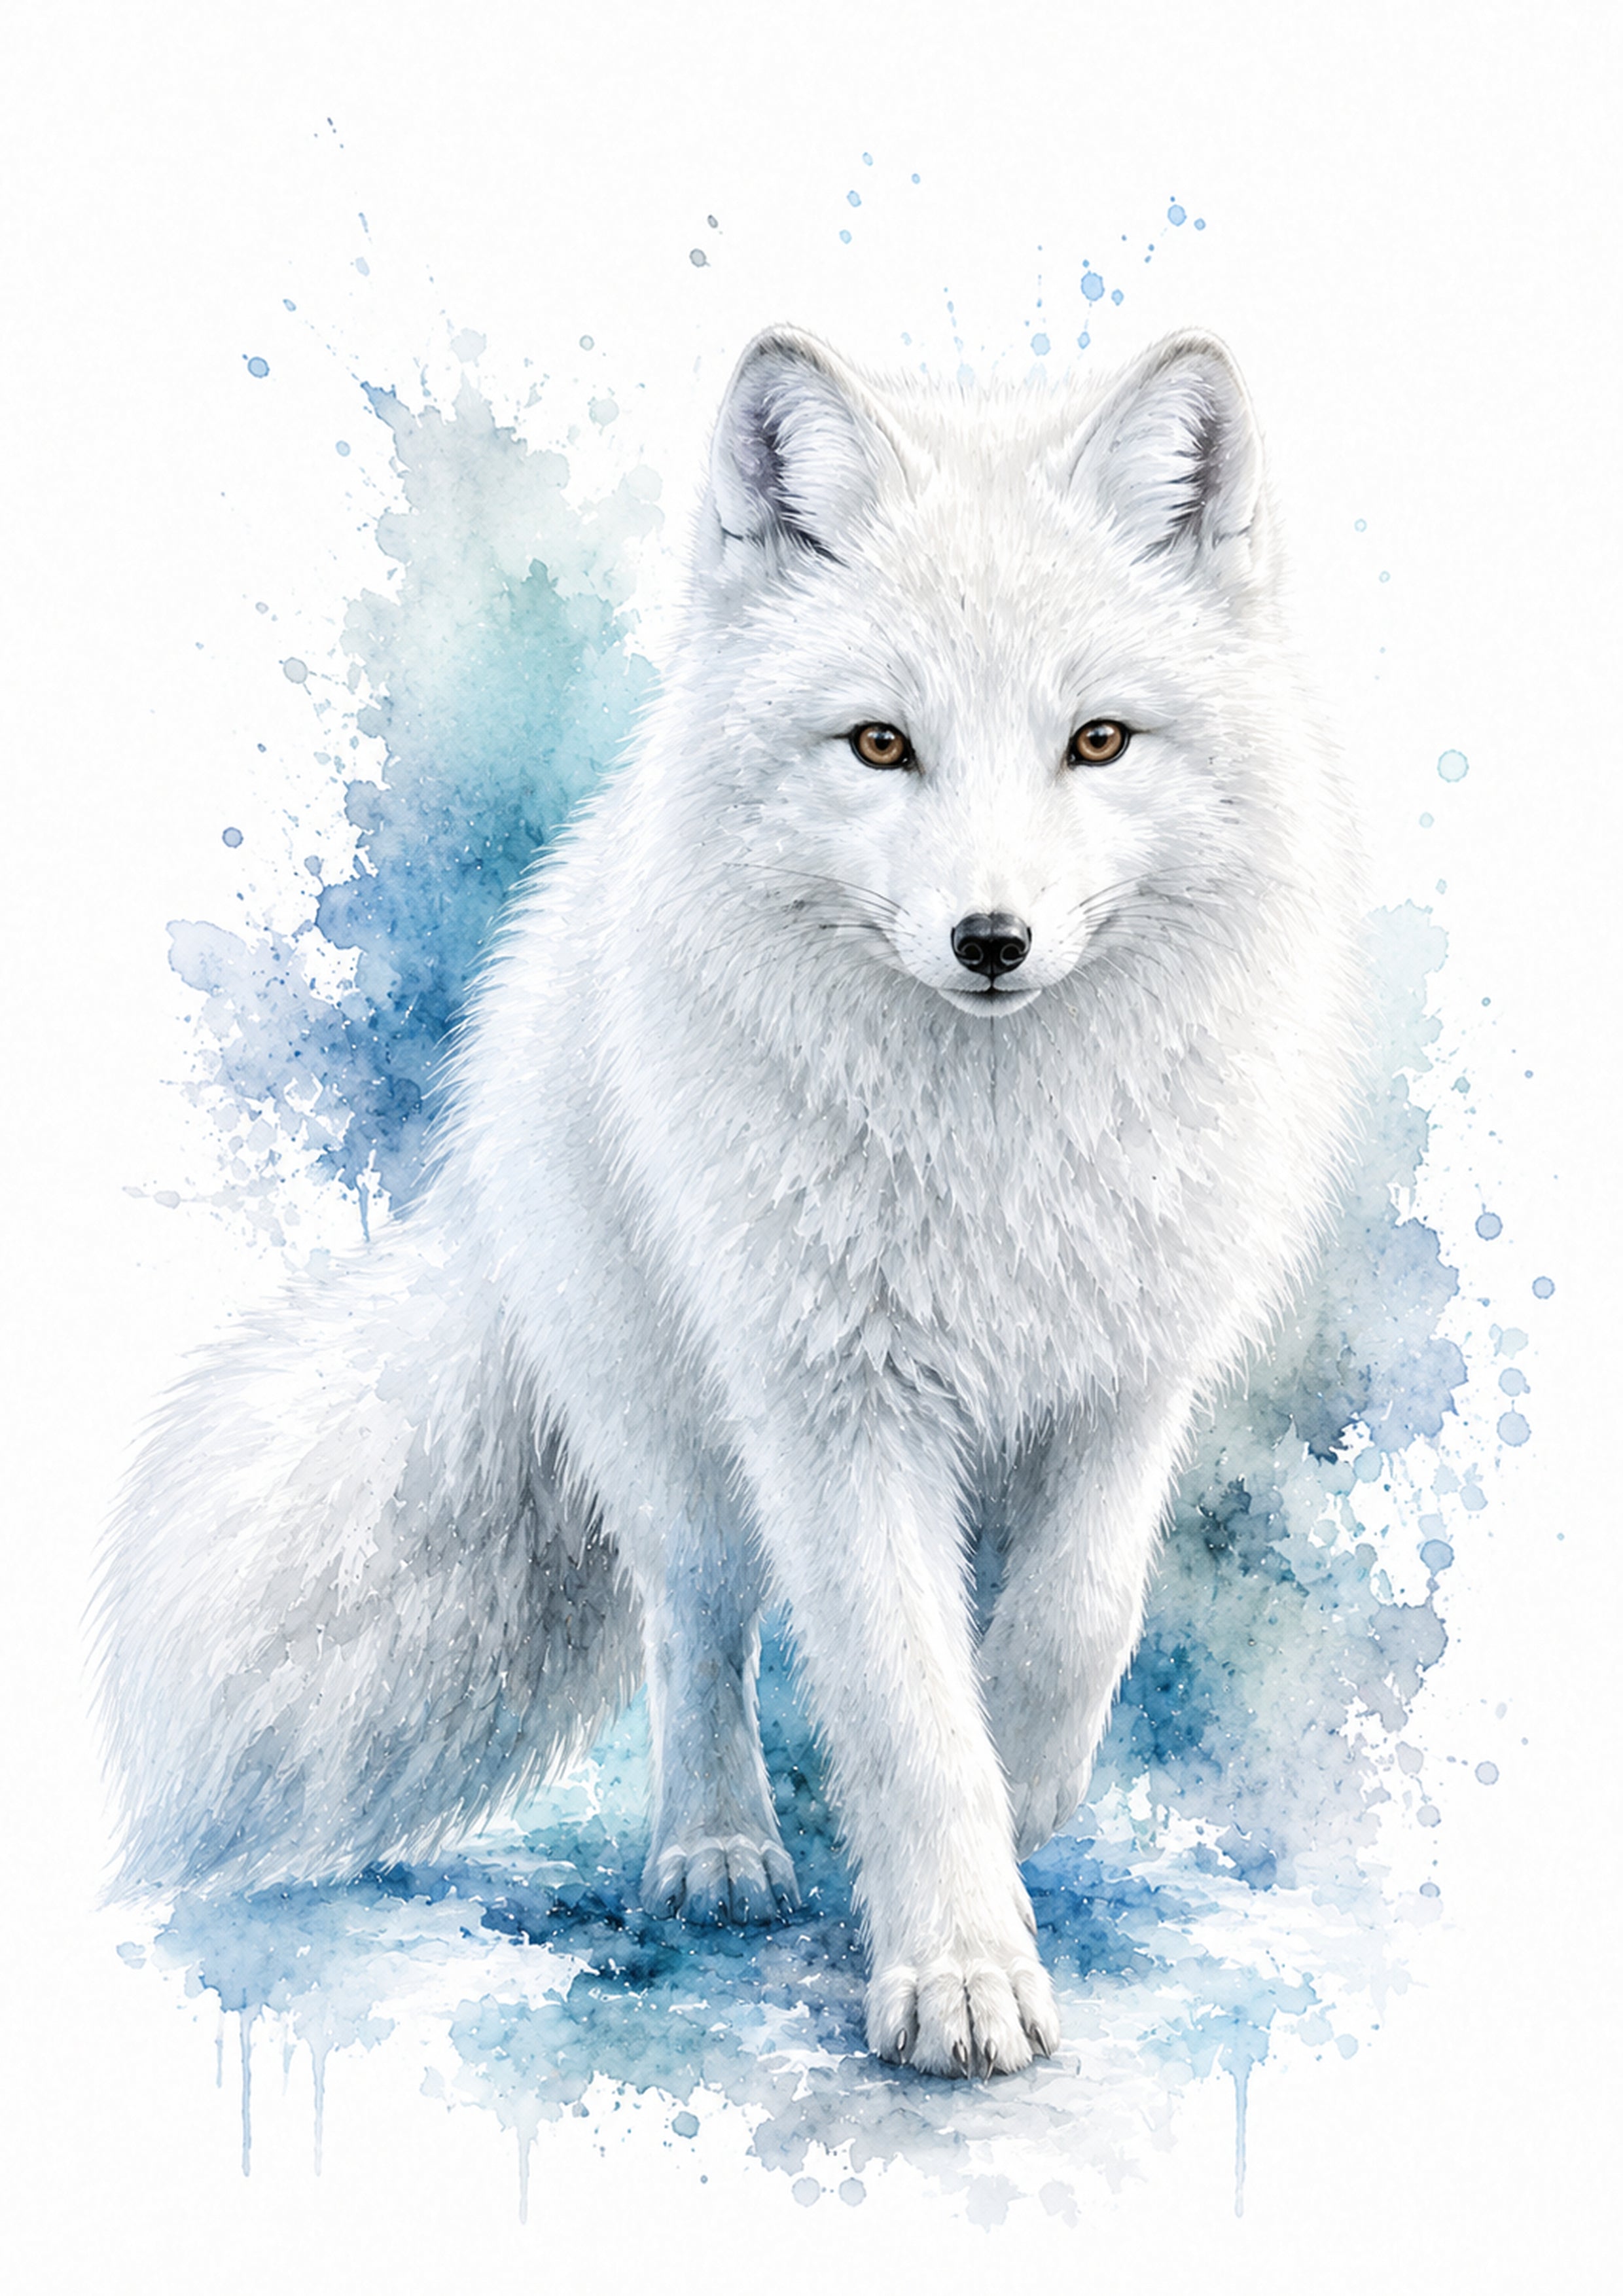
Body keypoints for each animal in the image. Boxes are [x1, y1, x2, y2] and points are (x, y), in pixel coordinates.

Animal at [99, 326, 1362, 2079]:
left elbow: (1076, 1621)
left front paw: (1030, 1785)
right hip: (687, 1446)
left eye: (1098, 741)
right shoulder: (835, 1408)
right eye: (881, 744)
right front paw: (959, 1972)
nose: (990, 941)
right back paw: (717, 1850)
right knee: (693, 1631)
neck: (996, 1152)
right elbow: (904, 1706)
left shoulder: (1127, 1378)